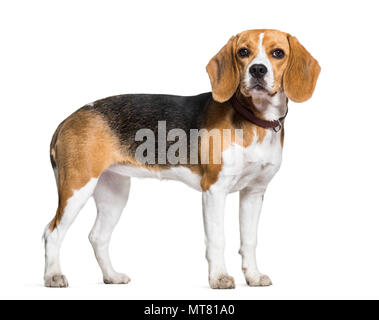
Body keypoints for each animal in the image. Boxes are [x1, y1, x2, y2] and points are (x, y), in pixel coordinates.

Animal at [43, 29, 320, 288]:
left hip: (114, 192)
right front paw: (219, 278)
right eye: (243, 52)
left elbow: (249, 240)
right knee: (51, 232)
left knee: (98, 236)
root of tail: (69, 118)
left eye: (278, 53)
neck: (254, 120)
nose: (258, 70)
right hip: (76, 188)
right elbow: (217, 239)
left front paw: (252, 276)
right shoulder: (214, 190)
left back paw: (111, 276)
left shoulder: (254, 192)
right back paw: (53, 276)